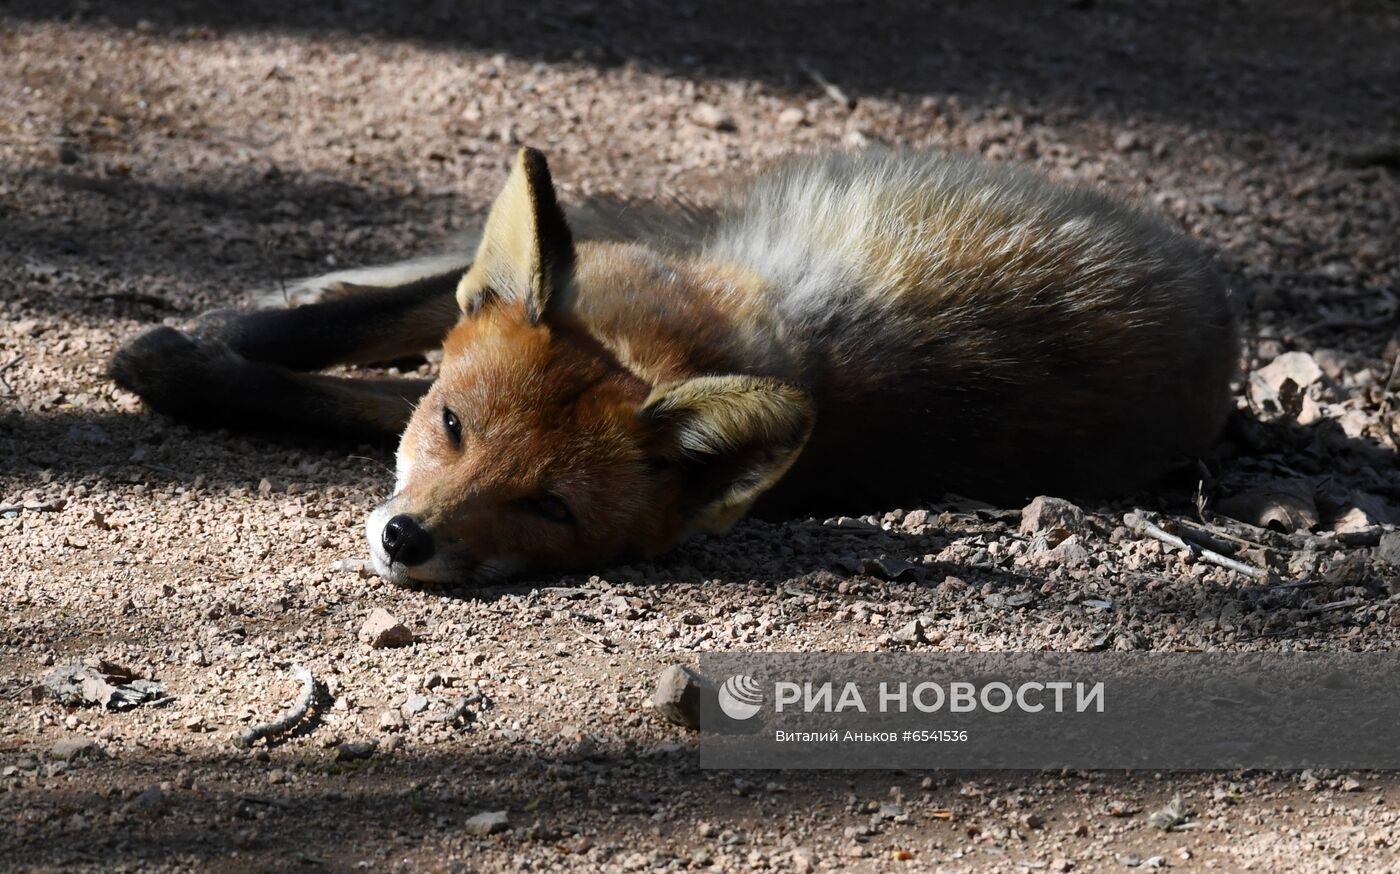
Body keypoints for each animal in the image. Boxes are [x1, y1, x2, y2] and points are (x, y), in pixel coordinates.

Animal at [114, 148, 1243, 588]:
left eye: (550, 508)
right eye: (453, 428)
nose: (408, 538)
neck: (665, 343)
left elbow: (339, 398)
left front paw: (193, 366)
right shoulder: (592, 275)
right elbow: (378, 327)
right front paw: (211, 335)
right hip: (657, 226)